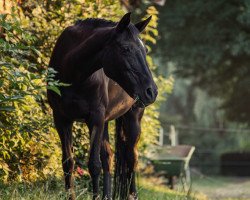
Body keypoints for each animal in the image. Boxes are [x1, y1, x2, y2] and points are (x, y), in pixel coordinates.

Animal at [46, 12, 156, 200]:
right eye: (126, 48)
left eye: (146, 51)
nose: (152, 91)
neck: (73, 74)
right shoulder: (61, 119)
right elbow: (68, 163)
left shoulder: (95, 118)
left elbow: (94, 165)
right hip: (105, 122)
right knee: (109, 157)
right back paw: (106, 196)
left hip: (132, 119)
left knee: (131, 158)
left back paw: (132, 195)